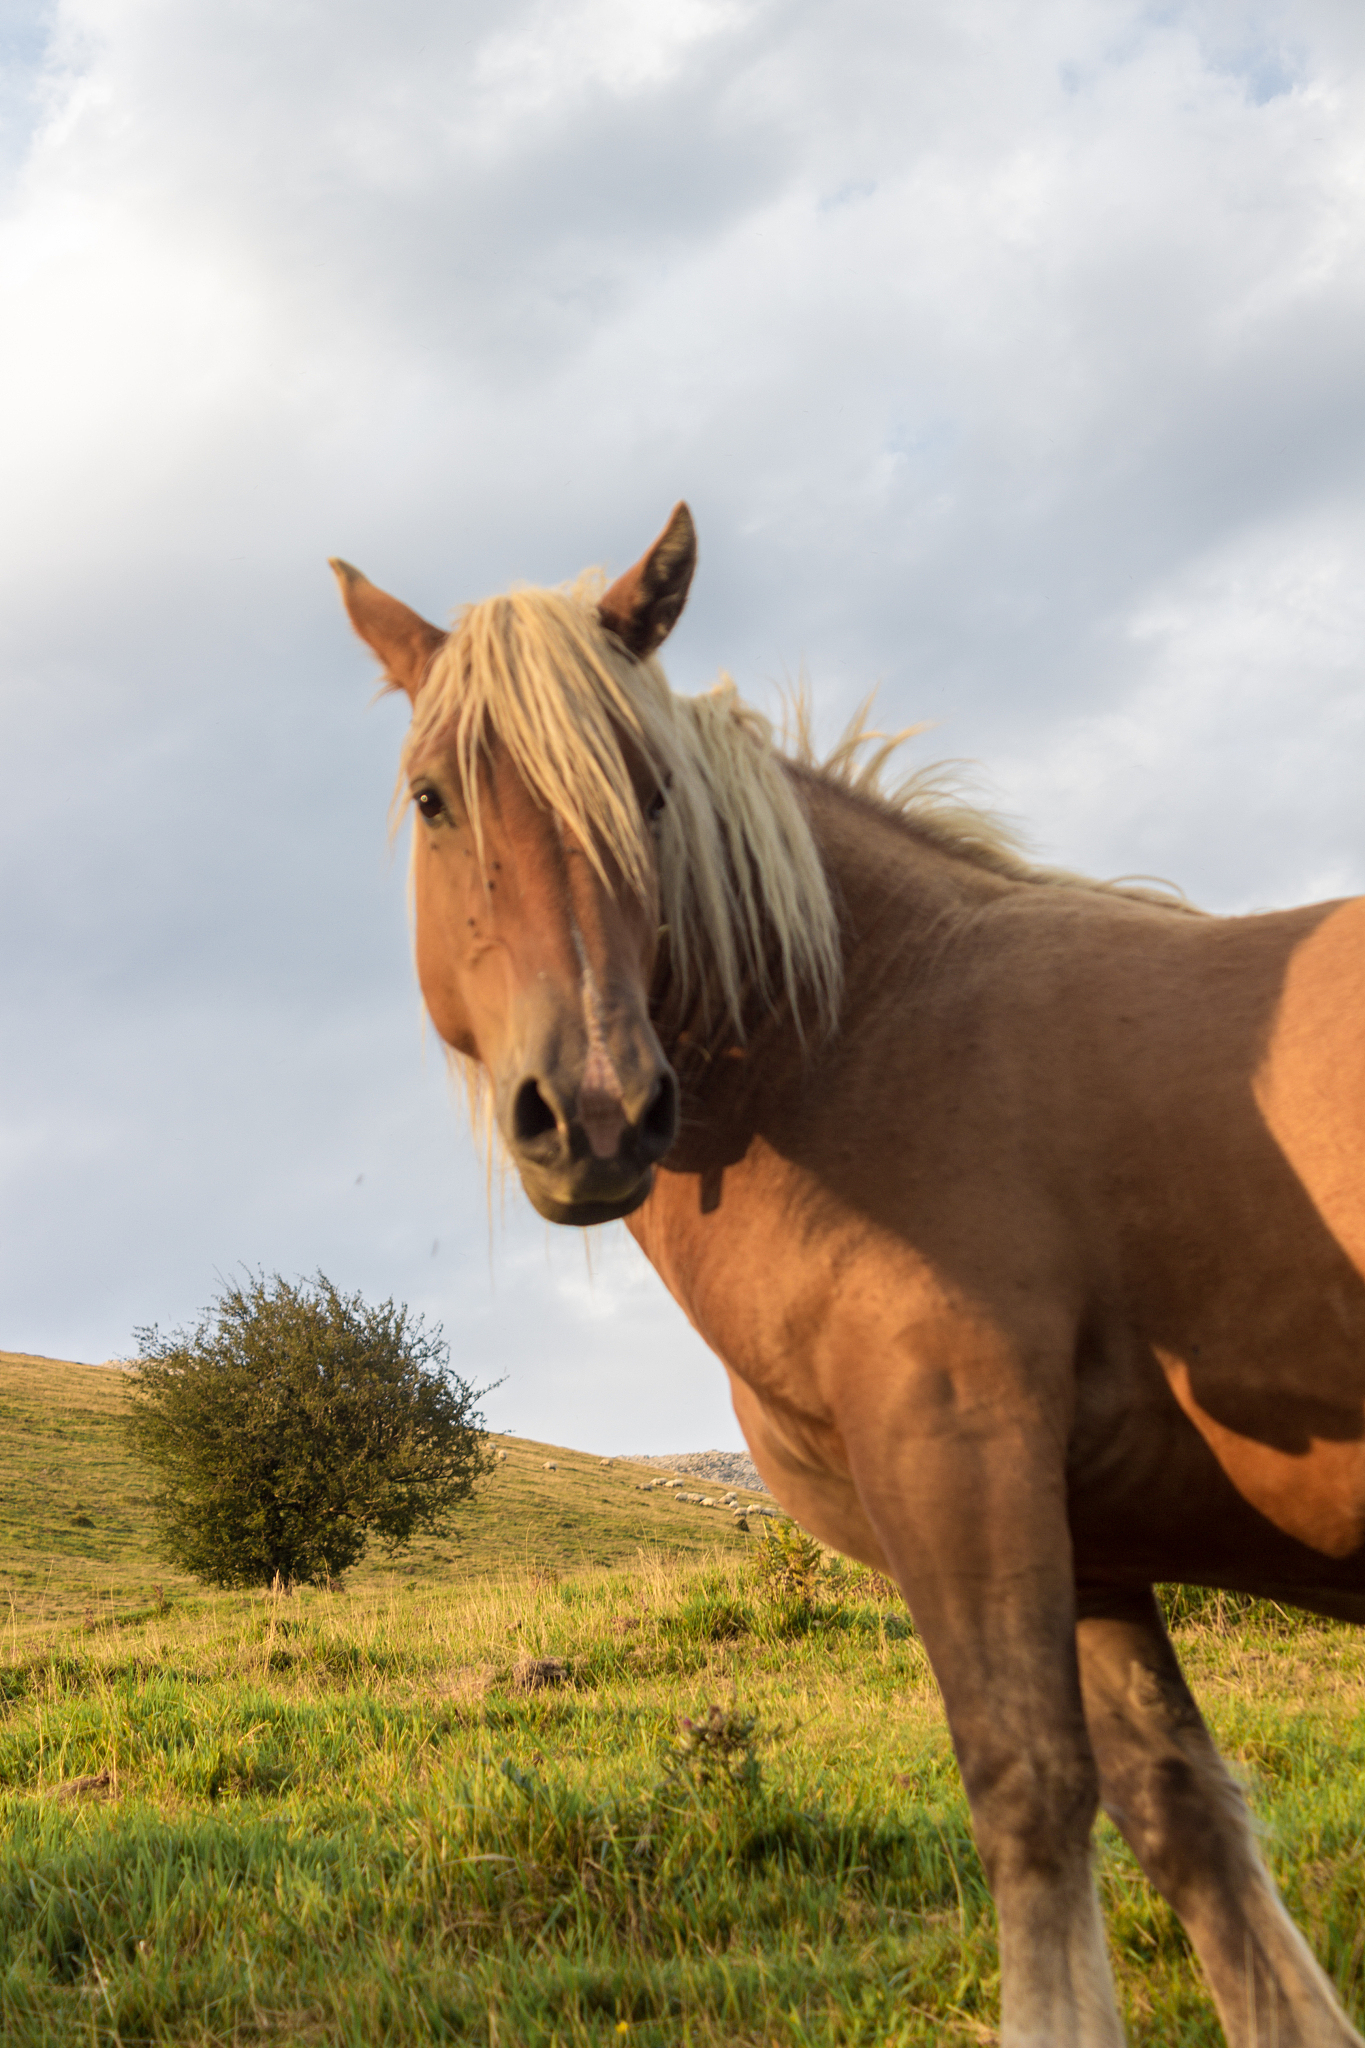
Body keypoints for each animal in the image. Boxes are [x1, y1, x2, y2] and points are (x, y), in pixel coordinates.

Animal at [332, 504, 1365, 2048]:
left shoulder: (959, 1460)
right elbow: (1182, 1814)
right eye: (436, 796)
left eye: (650, 792)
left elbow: (1030, 1795)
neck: (863, 1040)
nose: (595, 1112)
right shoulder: (1090, 1535)